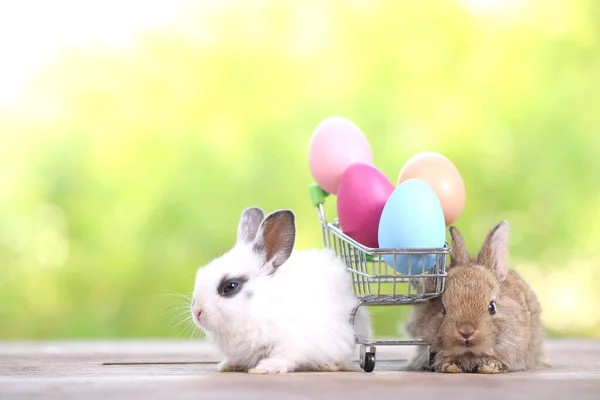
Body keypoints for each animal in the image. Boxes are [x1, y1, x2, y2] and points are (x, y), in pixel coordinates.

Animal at [191, 208, 370, 374]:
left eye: (230, 286)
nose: (197, 312)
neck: (260, 306)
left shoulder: (289, 342)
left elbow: (283, 356)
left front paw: (265, 368)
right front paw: (227, 365)